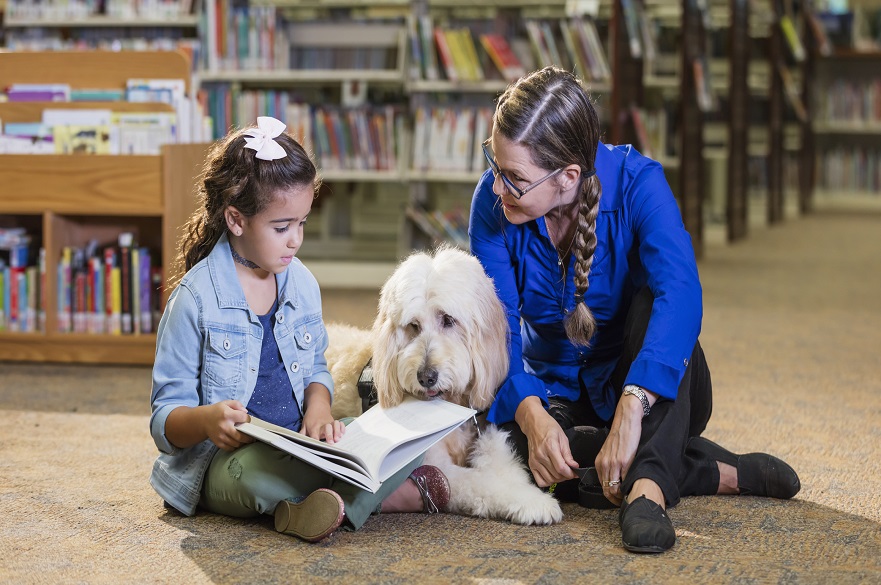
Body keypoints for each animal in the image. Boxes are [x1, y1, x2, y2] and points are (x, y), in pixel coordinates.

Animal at [324, 246, 564, 524]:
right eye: (413, 325)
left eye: (448, 320)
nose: (426, 376)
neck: (452, 401)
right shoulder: (438, 464)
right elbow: (481, 483)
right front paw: (531, 501)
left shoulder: (487, 432)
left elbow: (504, 463)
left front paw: (525, 489)